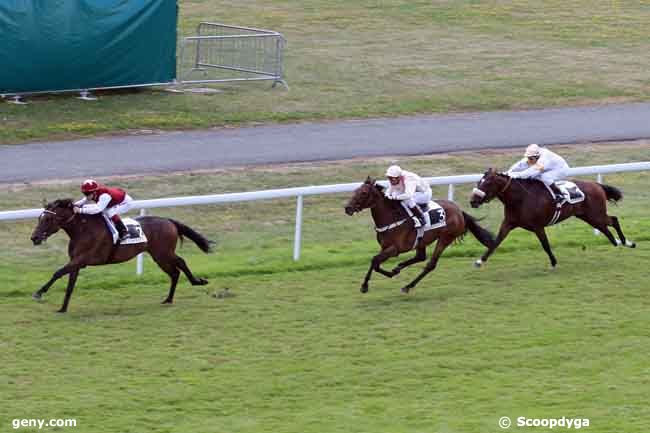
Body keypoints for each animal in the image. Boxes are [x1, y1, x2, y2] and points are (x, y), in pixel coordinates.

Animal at [31, 197, 213, 312]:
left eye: (48, 220)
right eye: (40, 218)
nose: (34, 238)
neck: (83, 230)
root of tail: (169, 221)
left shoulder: (82, 259)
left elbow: (58, 272)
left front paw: (39, 293)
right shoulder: (76, 262)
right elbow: (70, 284)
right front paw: (62, 308)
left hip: (164, 252)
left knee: (180, 262)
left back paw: (197, 281)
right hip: (159, 256)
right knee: (174, 273)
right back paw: (168, 299)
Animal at [344, 176, 492, 294]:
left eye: (363, 193)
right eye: (355, 190)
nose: (347, 208)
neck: (392, 217)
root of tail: (459, 211)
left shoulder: (395, 249)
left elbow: (375, 260)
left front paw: (366, 285)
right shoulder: (385, 247)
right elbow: (375, 263)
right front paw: (391, 272)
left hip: (445, 238)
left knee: (430, 264)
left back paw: (408, 286)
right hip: (422, 240)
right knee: (420, 257)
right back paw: (399, 267)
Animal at [468, 168, 636, 266]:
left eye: (487, 183)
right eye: (479, 181)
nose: (473, 201)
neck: (521, 198)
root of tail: (597, 185)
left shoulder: (537, 226)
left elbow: (545, 245)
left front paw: (554, 262)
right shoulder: (508, 223)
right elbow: (495, 242)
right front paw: (480, 260)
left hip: (595, 214)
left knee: (613, 220)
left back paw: (627, 242)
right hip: (588, 216)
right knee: (606, 226)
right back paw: (617, 242)